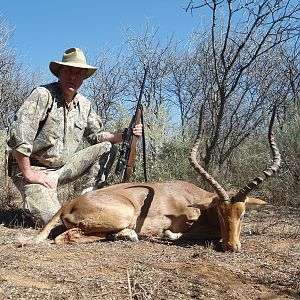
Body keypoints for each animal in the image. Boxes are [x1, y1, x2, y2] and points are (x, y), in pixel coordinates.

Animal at [23, 108, 282, 251]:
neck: (194, 198)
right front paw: (170, 235)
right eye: (220, 212)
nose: (232, 247)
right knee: (65, 237)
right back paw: (129, 235)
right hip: (123, 214)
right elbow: (191, 233)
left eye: (243, 213)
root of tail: (69, 204)